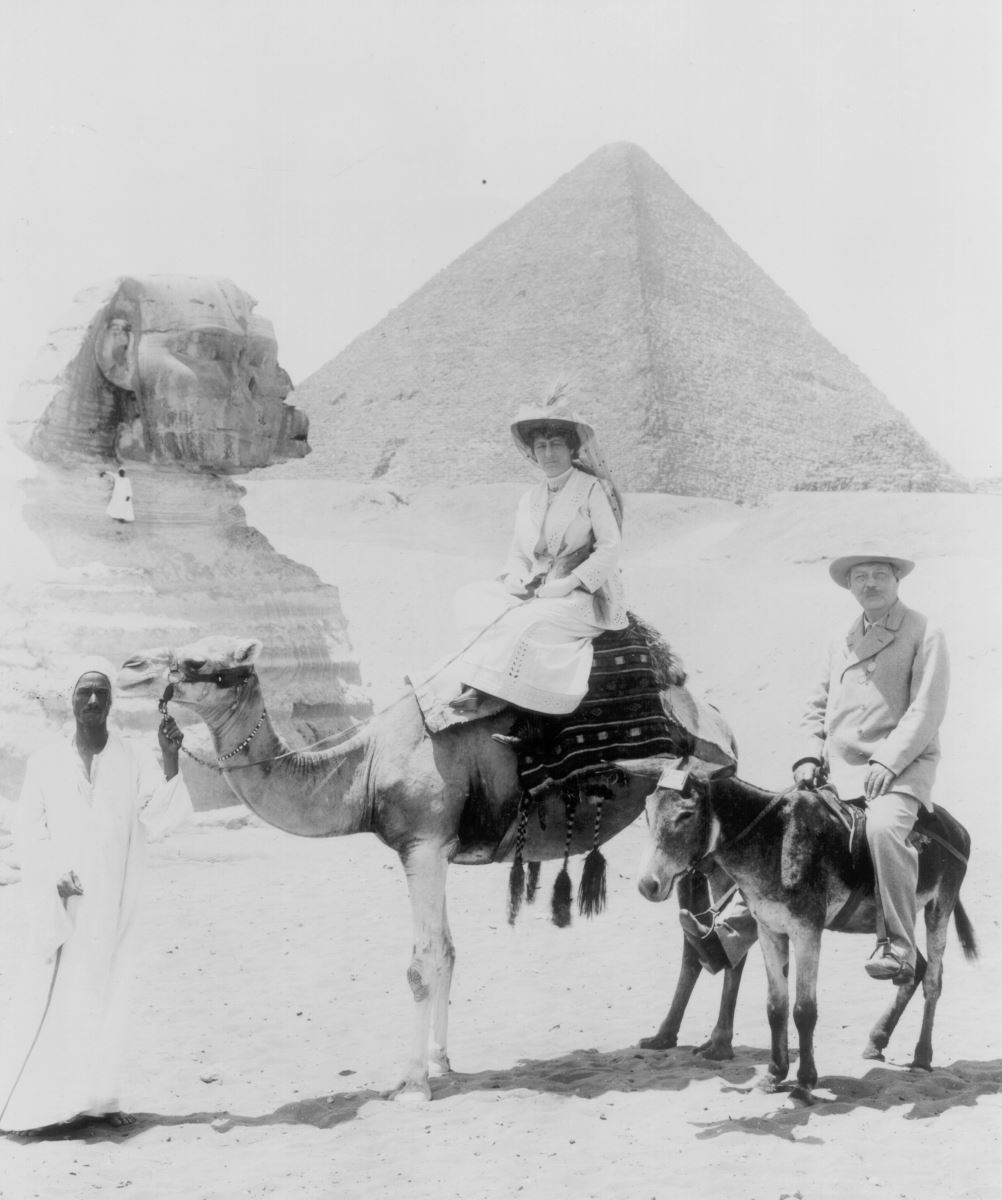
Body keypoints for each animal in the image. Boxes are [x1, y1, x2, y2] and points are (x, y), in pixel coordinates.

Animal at [117, 638, 744, 1099]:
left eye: (197, 661)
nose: (127, 666)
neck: (364, 771)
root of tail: (717, 719)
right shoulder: (434, 849)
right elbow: (447, 953)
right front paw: (442, 1062)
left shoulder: (421, 843)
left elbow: (421, 965)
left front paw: (412, 1082)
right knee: (699, 934)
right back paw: (666, 1037)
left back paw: (721, 1046)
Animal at [638, 763, 974, 1099]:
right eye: (647, 812)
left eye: (686, 814)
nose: (647, 885)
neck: (776, 837)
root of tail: (957, 827)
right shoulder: (770, 930)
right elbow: (776, 1007)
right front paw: (774, 1074)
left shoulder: (806, 932)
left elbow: (804, 1010)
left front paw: (804, 1082)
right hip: (894, 921)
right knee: (913, 967)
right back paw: (877, 1040)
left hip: (938, 907)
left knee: (932, 981)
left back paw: (921, 1057)